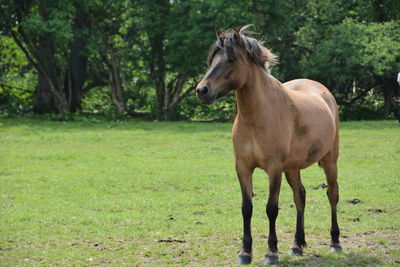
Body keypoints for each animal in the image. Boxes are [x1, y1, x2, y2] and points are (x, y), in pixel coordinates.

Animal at [196, 25, 340, 266]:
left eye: (230, 60)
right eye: (211, 59)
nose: (201, 90)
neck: (257, 117)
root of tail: (323, 91)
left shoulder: (274, 169)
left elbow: (271, 208)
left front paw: (271, 252)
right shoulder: (243, 167)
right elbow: (247, 208)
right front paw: (245, 252)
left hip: (330, 160)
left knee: (332, 194)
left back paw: (335, 242)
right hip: (293, 167)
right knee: (300, 197)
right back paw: (297, 245)